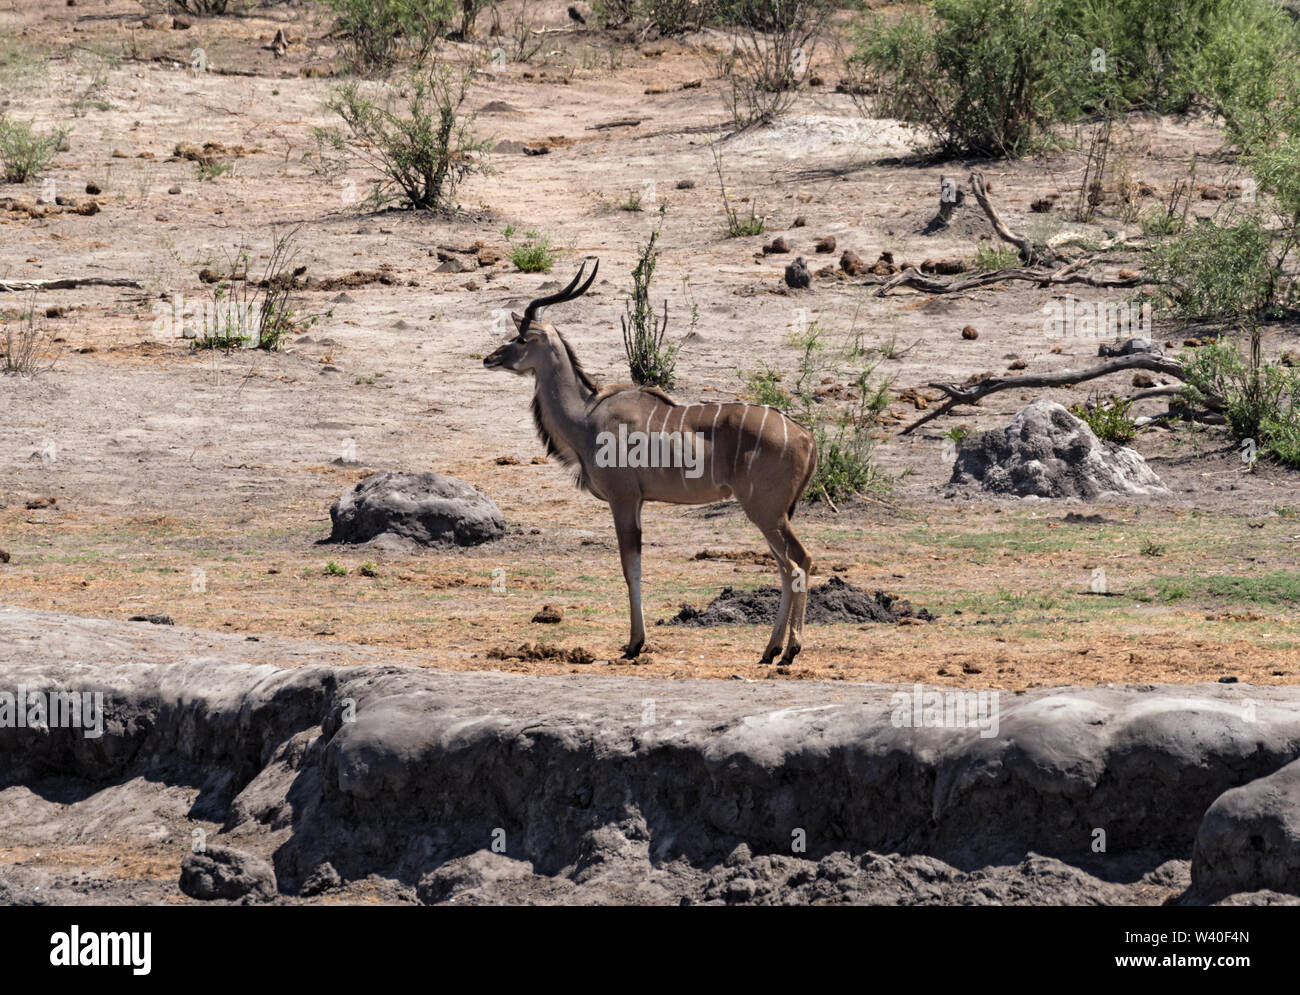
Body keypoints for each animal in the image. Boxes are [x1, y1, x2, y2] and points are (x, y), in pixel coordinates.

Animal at [483, 264, 816, 663]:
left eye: (520, 338)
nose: (489, 358)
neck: (586, 416)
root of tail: (806, 437)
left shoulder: (623, 499)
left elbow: (631, 568)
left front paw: (634, 643)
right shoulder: (639, 502)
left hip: (765, 512)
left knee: (799, 562)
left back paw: (791, 649)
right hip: (774, 515)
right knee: (785, 566)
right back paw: (771, 650)